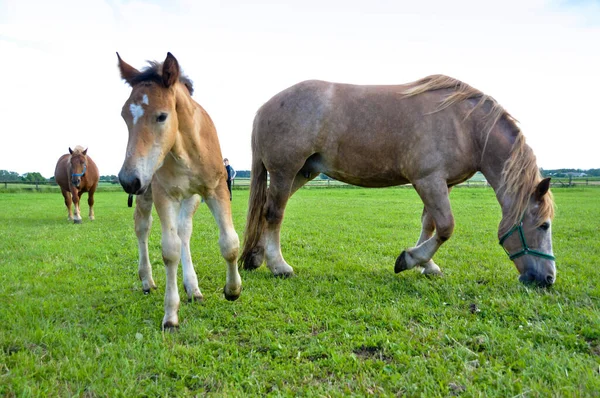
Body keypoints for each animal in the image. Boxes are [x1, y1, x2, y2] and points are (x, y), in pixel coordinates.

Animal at [116, 51, 240, 328]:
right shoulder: (164, 195)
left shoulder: (215, 189)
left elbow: (229, 242)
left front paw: (232, 290)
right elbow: (169, 251)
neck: (187, 151)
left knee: (184, 231)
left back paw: (193, 288)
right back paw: (147, 280)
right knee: (142, 227)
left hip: (189, 197)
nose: (128, 180)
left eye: (162, 116)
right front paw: (171, 315)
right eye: (124, 115)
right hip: (147, 191)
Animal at [240, 75, 556, 286]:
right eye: (544, 225)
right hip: (285, 171)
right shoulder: (429, 180)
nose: (548, 279)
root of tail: (264, 108)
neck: (467, 127)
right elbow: (445, 227)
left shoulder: (441, 184)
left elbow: (430, 225)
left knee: (266, 211)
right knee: (274, 213)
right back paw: (279, 266)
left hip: (303, 172)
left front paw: (427, 264)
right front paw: (410, 260)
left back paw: (255, 258)